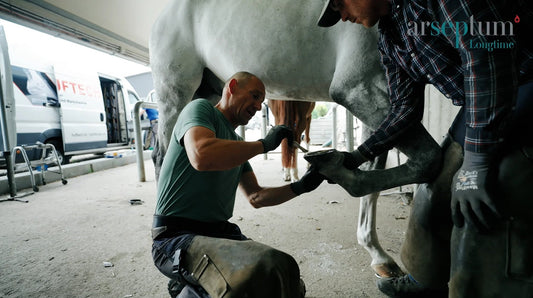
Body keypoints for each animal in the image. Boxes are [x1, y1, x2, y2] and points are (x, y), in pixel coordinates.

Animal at [149, 0, 440, 280]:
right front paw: (346, 179)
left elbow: (376, 174)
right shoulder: (360, 86)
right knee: (163, 155)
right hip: (175, 91)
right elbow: (429, 158)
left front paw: (379, 257)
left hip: (207, 89)